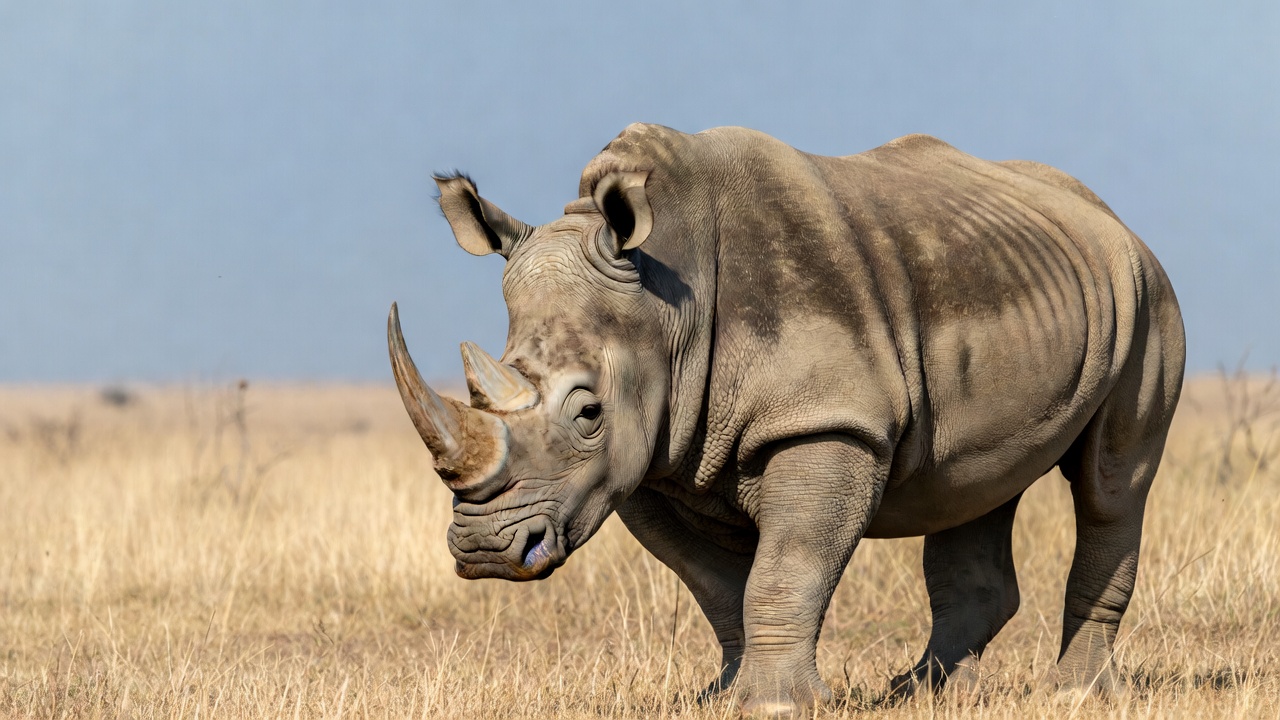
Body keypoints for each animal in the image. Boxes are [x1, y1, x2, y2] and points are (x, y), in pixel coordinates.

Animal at [388, 123, 1185, 717]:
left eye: (587, 412)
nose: (485, 549)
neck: (665, 302)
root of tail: (1111, 218)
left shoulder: (825, 420)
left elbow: (788, 567)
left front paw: (775, 706)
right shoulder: (644, 459)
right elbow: (716, 585)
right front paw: (721, 698)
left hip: (1147, 296)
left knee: (1112, 484)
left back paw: (1078, 694)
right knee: (973, 482)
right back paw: (924, 694)